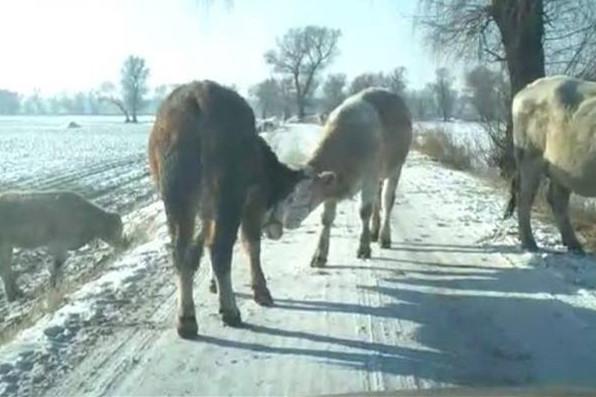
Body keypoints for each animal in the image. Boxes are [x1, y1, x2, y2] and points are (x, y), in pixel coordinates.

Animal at [148, 81, 304, 338]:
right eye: (286, 196)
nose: (277, 231)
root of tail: (197, 96)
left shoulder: (207, 208)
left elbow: (203, 241)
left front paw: (212, 284)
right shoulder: (253, 199)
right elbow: (251, 243)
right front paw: (261, 290)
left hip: (177, 193)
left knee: (183, 251)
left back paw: (186, 318)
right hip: (228, 191)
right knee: (221, 249)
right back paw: (230, 311)